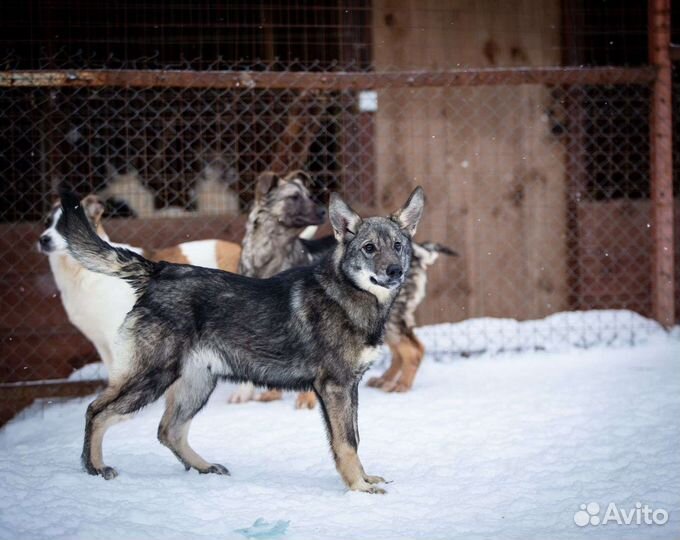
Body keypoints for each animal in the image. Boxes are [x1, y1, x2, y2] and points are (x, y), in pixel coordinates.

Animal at [57, 187, 424, 494]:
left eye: (397, 246)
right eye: (369, 248)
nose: (395, 271)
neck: (348, 295)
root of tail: (160, 270)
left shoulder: (351, 388)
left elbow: (356, 437)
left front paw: (363, 479)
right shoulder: (335, 388)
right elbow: (346, 443)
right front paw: (357, 488)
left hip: (196, 384)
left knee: (168, 430)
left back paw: (204, 467)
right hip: (152, 378)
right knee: (96, 411)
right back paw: (94, 467)